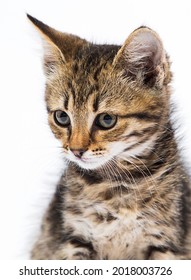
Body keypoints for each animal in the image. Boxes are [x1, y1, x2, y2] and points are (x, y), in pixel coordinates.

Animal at [27, 14, 190, 260]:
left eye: (106, 120)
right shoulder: (75, 240)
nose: (76, 150)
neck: (118, 183)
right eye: (62, 117)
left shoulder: (166, 242)